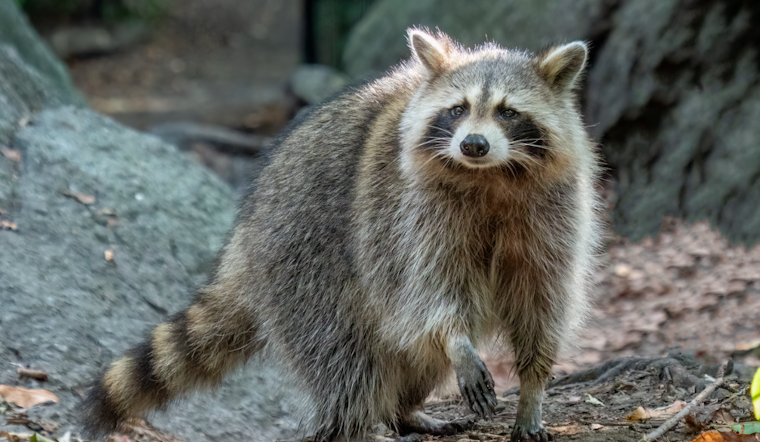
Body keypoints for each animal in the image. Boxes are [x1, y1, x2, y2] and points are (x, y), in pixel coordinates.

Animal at [81, 28, 601, 442]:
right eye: (458, 109)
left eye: (508, 112)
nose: (473, 144)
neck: (491, 176)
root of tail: (245, 235)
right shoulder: (409, 214)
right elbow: (429, 290)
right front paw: (458, 341)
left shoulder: (554, 213)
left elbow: (543, 299)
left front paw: (533, 387)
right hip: (304, 257)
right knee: (344, 354)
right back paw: (354, 424)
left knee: (411, 354)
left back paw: (405, 410)